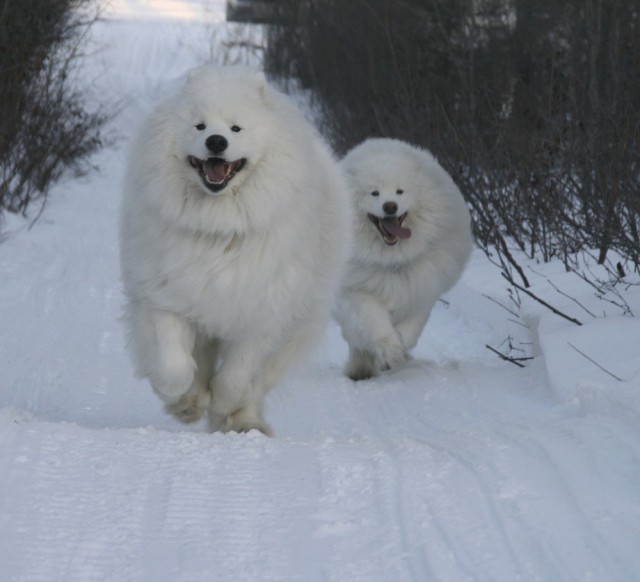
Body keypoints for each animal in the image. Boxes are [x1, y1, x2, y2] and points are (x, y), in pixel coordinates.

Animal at [119, 66, 350, 436]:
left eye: (236, 128)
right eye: (199, 126)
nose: (216, 141)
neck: (219, 227)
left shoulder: (260, 313)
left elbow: (236, 377)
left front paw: (225, 408)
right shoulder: (166, 297)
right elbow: (173, 364)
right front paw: (181, 401)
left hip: (299, 324)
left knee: (258, 382)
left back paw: (244, 422)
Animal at [332, 139, 472, 380]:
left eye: (400, 191)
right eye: (374, 193)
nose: (390, 206)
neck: (391, 260)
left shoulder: (419, 290)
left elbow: (411, 328)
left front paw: (400, 351)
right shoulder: (357, 292)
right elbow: (375, 323)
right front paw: (391, 351)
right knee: (356, 339)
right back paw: (360, 369)